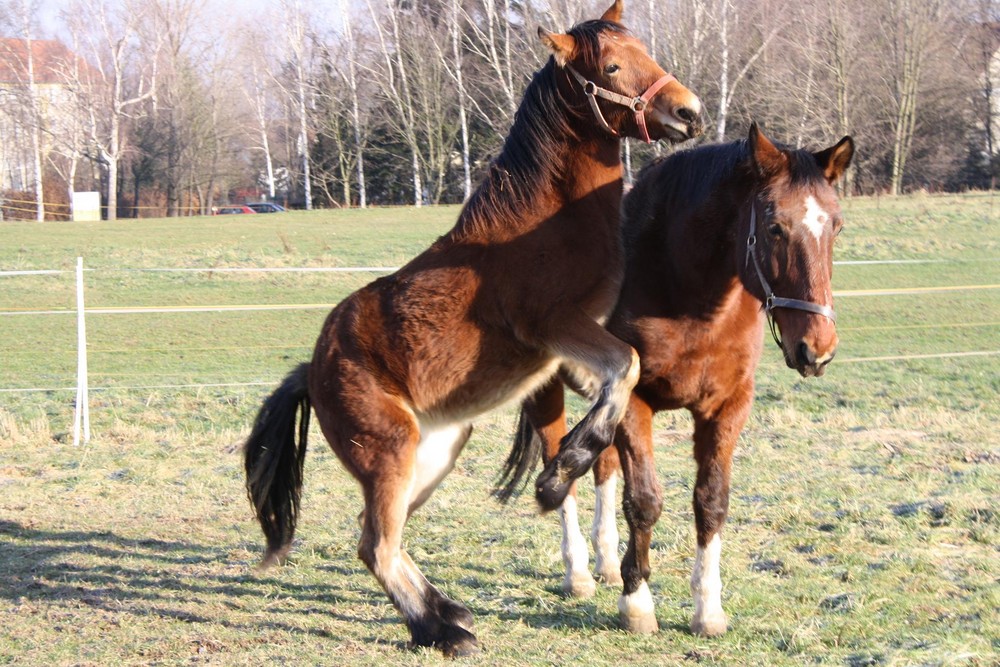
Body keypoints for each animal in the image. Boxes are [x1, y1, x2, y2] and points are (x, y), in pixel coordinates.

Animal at [243, 1, 704, 656]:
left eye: (648, 53)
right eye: (613, 67)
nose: (689, 111)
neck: (542, 224)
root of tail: (313, 370)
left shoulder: (570, 350)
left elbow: (618, 383)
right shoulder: (554, 325)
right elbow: (626, 367)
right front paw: (559, 473)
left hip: (434, 454)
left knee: (376, 538)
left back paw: (446, 615)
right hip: (390, 453)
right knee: (377, 545)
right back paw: (442, 631)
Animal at [516, 124, 852, 636]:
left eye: (835, 226)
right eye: (774, 227)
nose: (817, 348)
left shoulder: (727, 406)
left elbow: (711, 501)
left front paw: (707, 609)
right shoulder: (635, 403)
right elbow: (644, 500)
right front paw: (637, 603)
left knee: (602, 465)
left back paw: (606, 562)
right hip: (547, 394)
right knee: (561, 468)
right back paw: (579, 573)